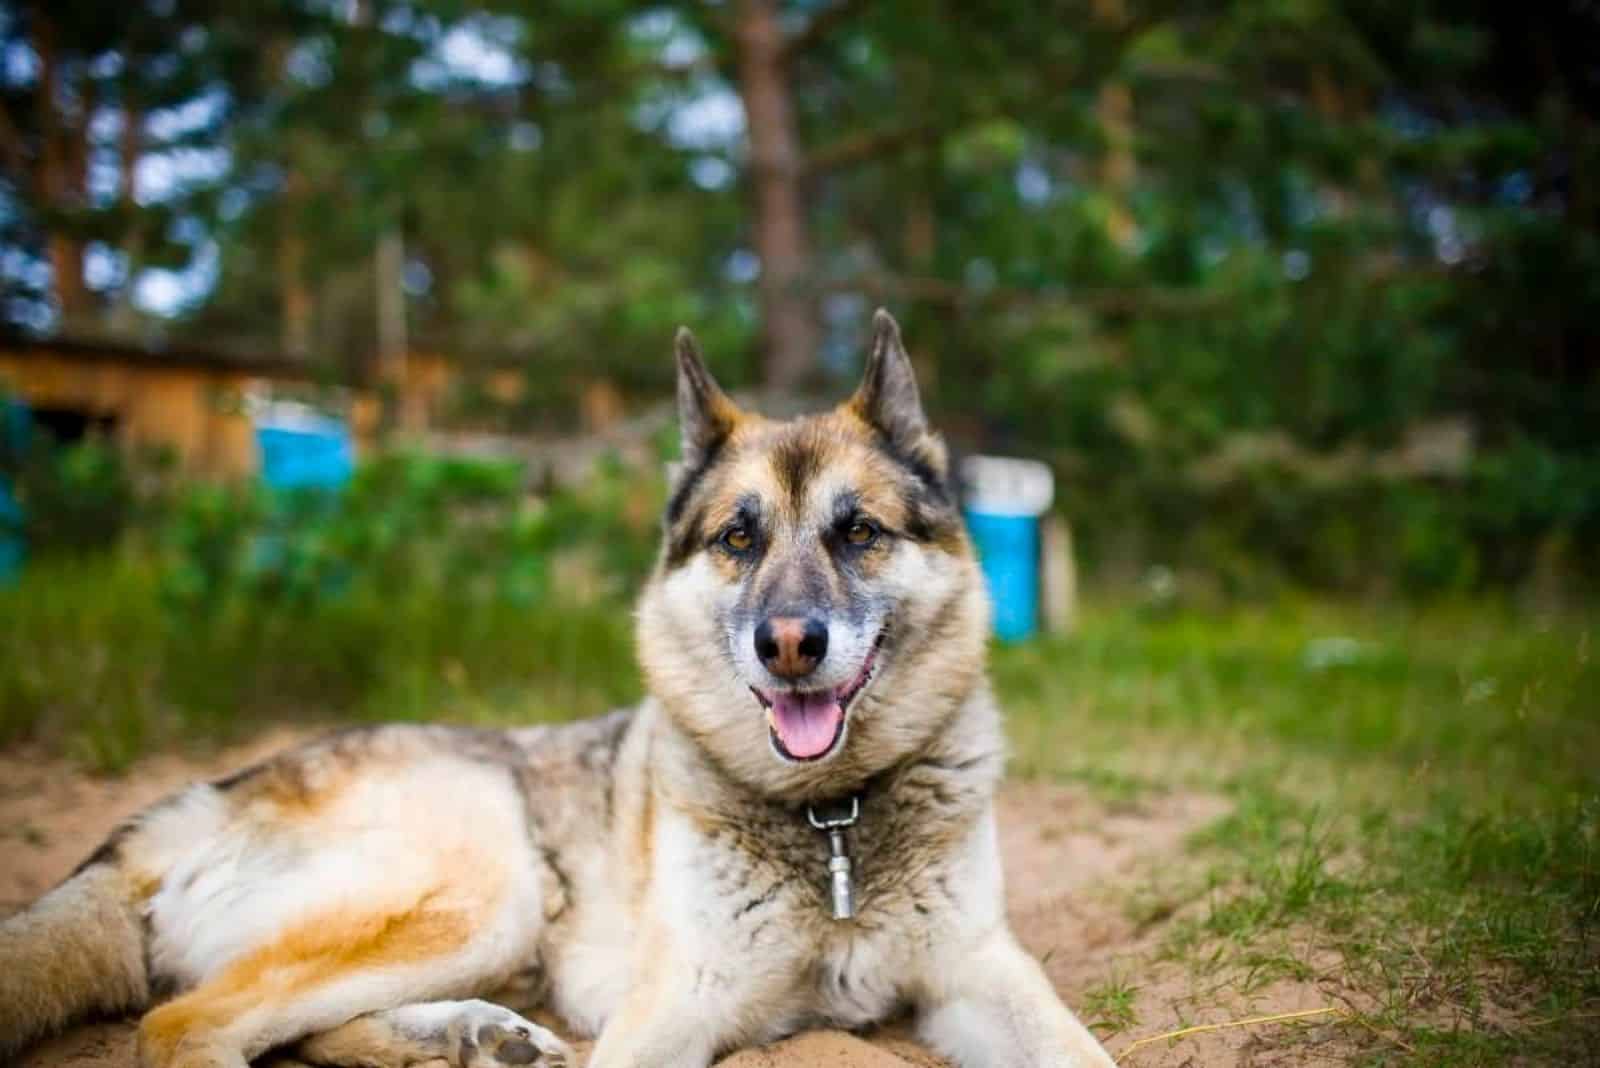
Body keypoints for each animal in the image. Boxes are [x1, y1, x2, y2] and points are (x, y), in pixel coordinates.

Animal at [0, 310, 1120, 1068]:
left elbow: (1083, 1051)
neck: (830, 822)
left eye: (859, 532)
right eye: (738, 539)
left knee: (301, 1032)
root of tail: (190, 807)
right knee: (184, 1023)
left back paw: (463, 1037)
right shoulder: (672, 1004)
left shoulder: (981, 972)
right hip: (486, 888)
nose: (788, 646)